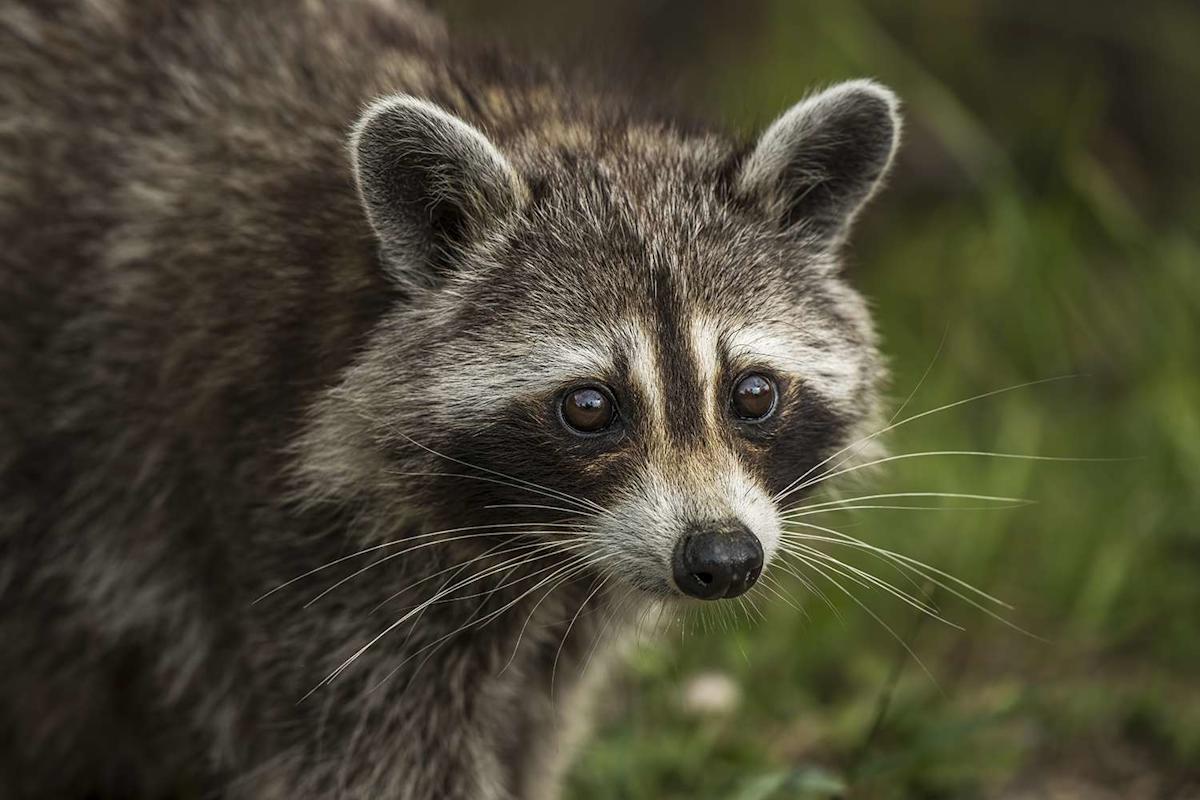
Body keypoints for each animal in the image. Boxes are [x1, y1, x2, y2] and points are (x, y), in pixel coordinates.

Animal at [0, 1, 899, 797]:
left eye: (753, 393)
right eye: (589, 407)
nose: (720, 559)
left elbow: (535, 727)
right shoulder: (278, 515)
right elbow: (375, 764)